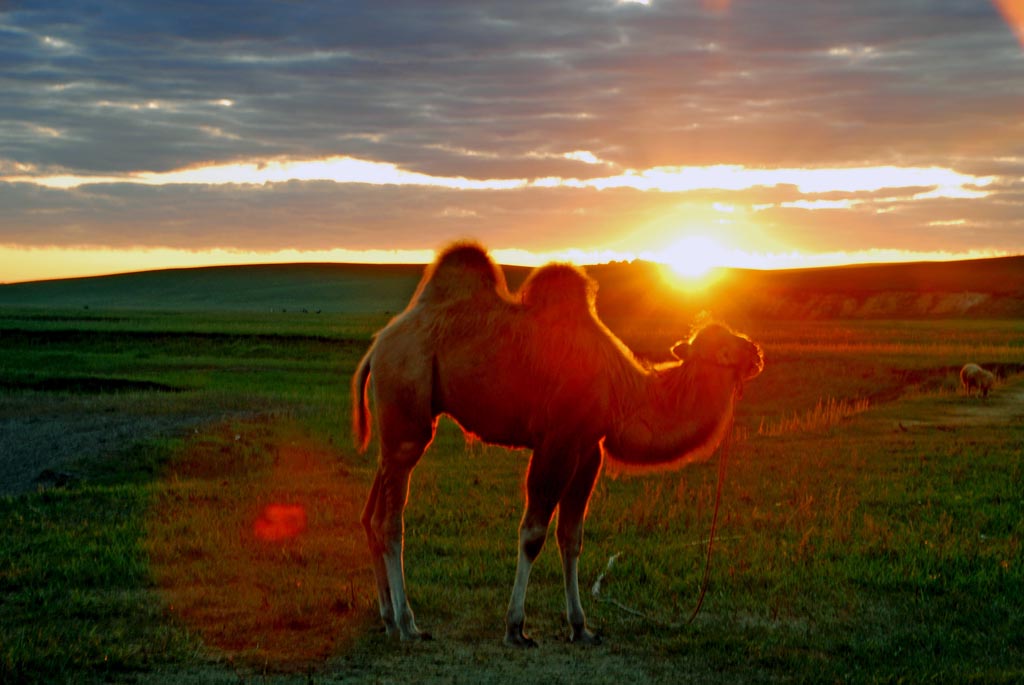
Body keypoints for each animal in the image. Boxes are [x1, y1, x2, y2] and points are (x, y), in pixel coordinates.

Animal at [352, 241, 761, 647]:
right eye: (722, 347)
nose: (756, 352)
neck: (621, 392)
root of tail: (376, 347)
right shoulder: (557, 441)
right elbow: (533, 535)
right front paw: (515, 627)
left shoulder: (587, 450)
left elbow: (571, 537)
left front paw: (581, 626)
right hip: (406, 401)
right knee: (391, 520)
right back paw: (408, 623)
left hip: (397, 429)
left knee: (372, 513)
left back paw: (388, 619)